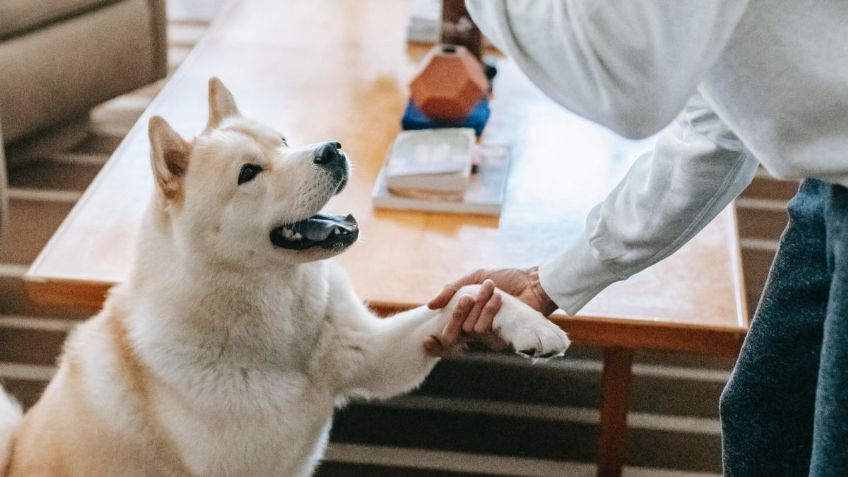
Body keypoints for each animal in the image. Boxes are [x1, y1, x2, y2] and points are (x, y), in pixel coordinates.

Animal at [1, 79, 568, 476]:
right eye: (249, 173)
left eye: (283, 140)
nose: (332, 149)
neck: (284, 330)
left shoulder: (374, 355)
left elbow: (463, 294)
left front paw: (527, 322)